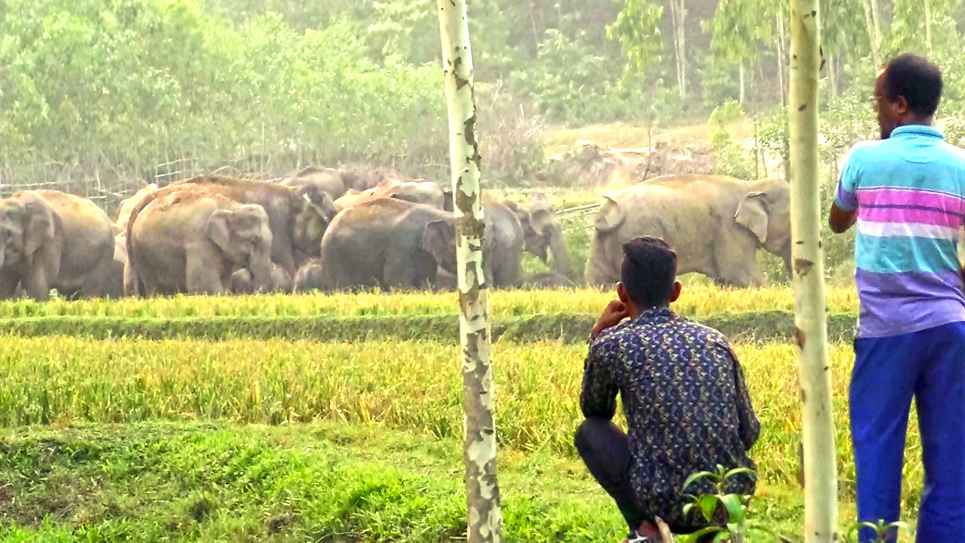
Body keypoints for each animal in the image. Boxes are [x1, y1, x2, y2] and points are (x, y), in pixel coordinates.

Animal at [127, 190, 274, 295]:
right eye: (253, 241)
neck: (231, 206)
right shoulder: (199, 242)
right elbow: (205, 287)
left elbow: (224, 282)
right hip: (144, 256)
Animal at [317, 198, 458, 291]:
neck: (436, 214)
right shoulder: (401, 245)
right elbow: (395, 280)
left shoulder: (424, 254)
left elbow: (426, 279)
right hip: (334, 253)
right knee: (343, 286)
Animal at [585, 175, 792, 288]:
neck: (751, 186)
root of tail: (610, 208)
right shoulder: (730, 228)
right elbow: (741, 275)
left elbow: (725, 280)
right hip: (637, 231)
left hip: (603, 239)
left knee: (598, 282)